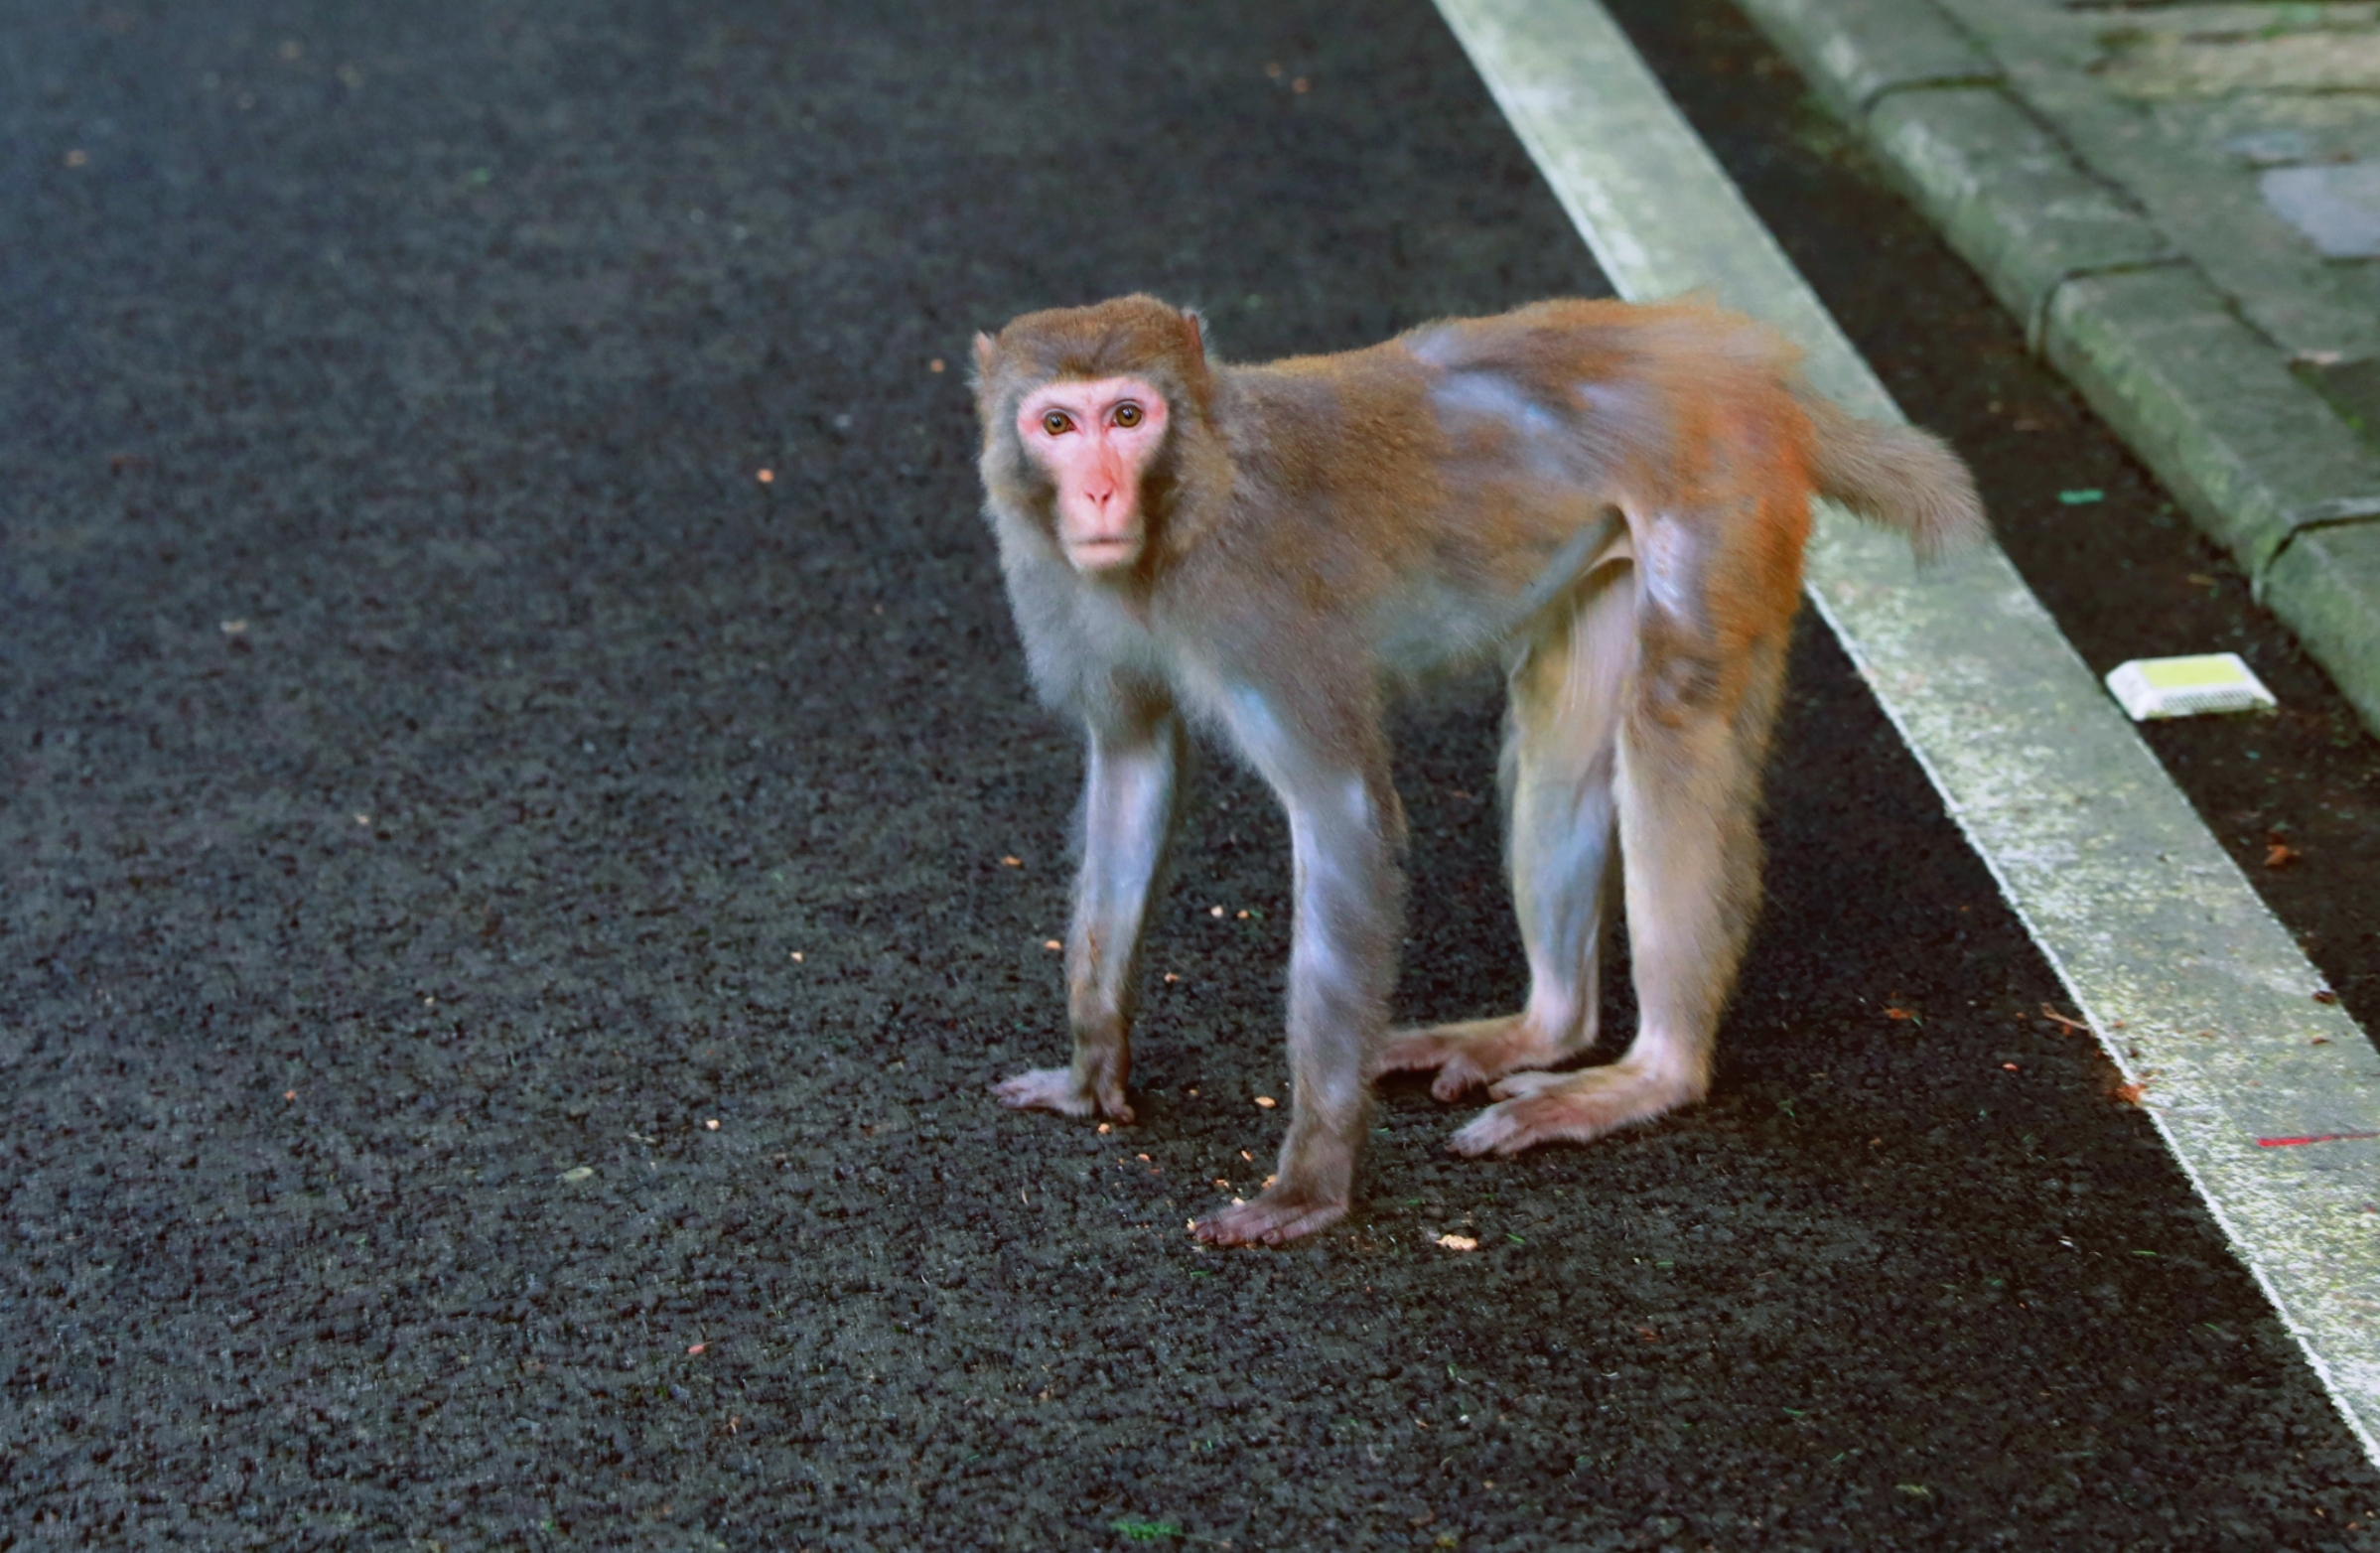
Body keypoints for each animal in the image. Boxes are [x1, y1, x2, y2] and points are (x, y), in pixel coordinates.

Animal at [956, 290, 1980, 1247]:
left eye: (1128, 416)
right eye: (1058, 425)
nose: (1096, 496)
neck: (1191, 496)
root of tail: (1737, 358)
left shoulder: (1256, 604)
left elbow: (1341, 813)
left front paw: (1312, 1183)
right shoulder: (1062, 593)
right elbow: (1133, 767)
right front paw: (1091, 1070)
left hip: (1721, 498)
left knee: (1673, 722)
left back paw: (1652, 1073)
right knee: (1563, 733)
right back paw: (1544, 1028)